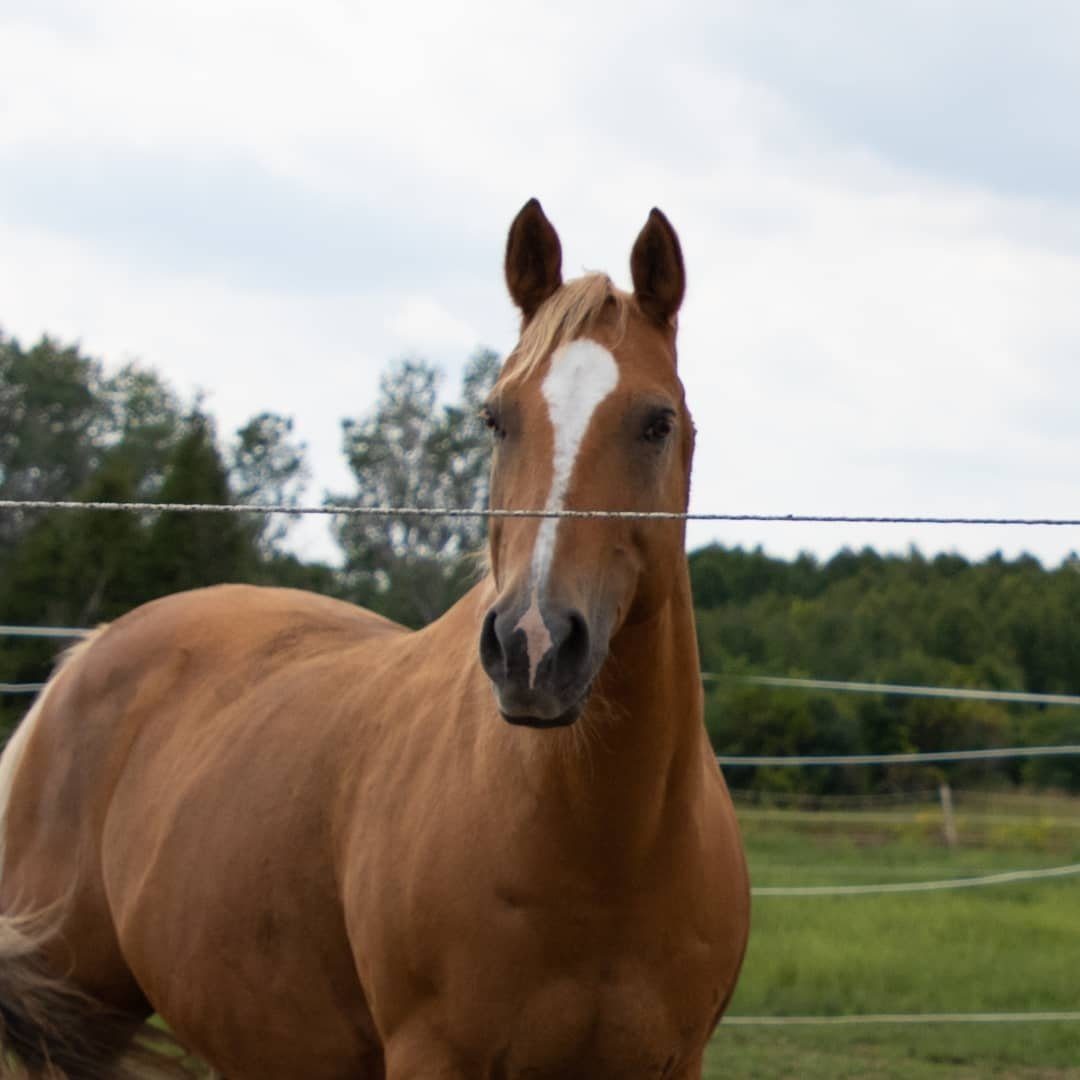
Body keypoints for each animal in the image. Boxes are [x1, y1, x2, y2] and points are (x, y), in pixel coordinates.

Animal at [0, 198, 751, 1075]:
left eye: (657, 422)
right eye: (496, 418)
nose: (532, 645)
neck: (607, 853)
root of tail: (83, 659)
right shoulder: (434, 1054)